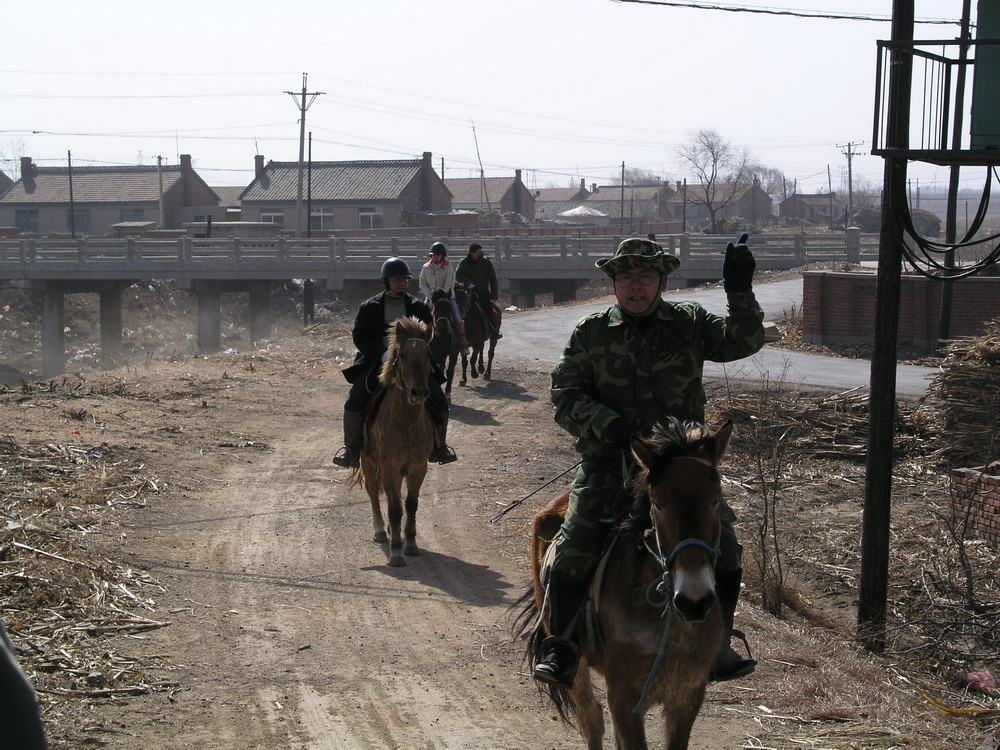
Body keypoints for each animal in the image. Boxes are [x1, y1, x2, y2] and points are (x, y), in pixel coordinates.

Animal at [356, 314, 438, 568]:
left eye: (428, 355)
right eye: (401, 355)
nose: (418, 393)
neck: (405, 424)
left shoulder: (418, 467)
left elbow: (410, 504)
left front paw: (409, 543)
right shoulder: (389, 468)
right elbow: (394, 509)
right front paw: (396, 552)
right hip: (367, 461)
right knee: (373, 491)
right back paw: (382, 531)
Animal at [520, 420, 732, 748]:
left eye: (716, 499)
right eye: (657, 504)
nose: (694, 601)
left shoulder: (688, 697)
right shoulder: (623, 697)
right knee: (591, 718)